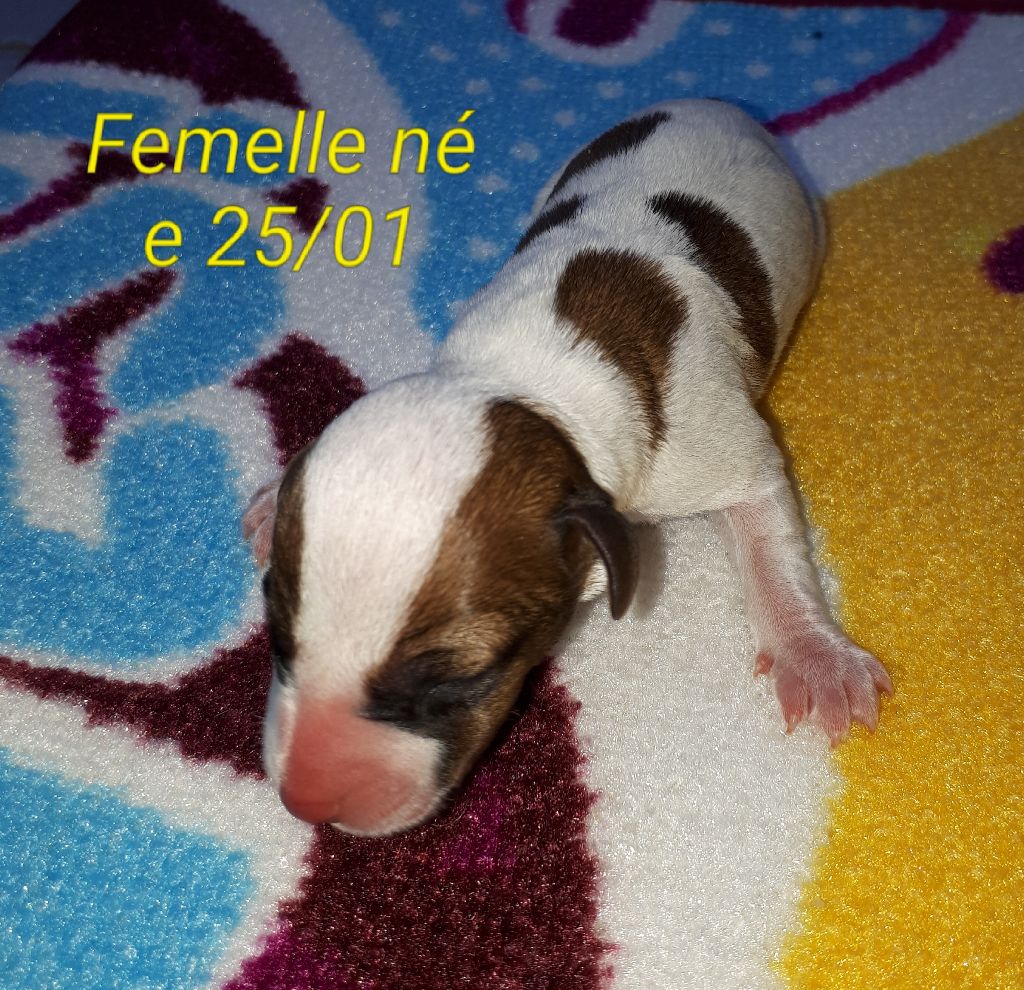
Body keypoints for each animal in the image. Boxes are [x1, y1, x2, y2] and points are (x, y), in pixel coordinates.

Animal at [243, 99, 893, 837]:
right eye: (274, 622)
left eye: (458, 678)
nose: (303, 802)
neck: (533, 382)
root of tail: (715, 105)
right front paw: (273, 494)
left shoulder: (713, 443)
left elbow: (767, 533)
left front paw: (816, 657)